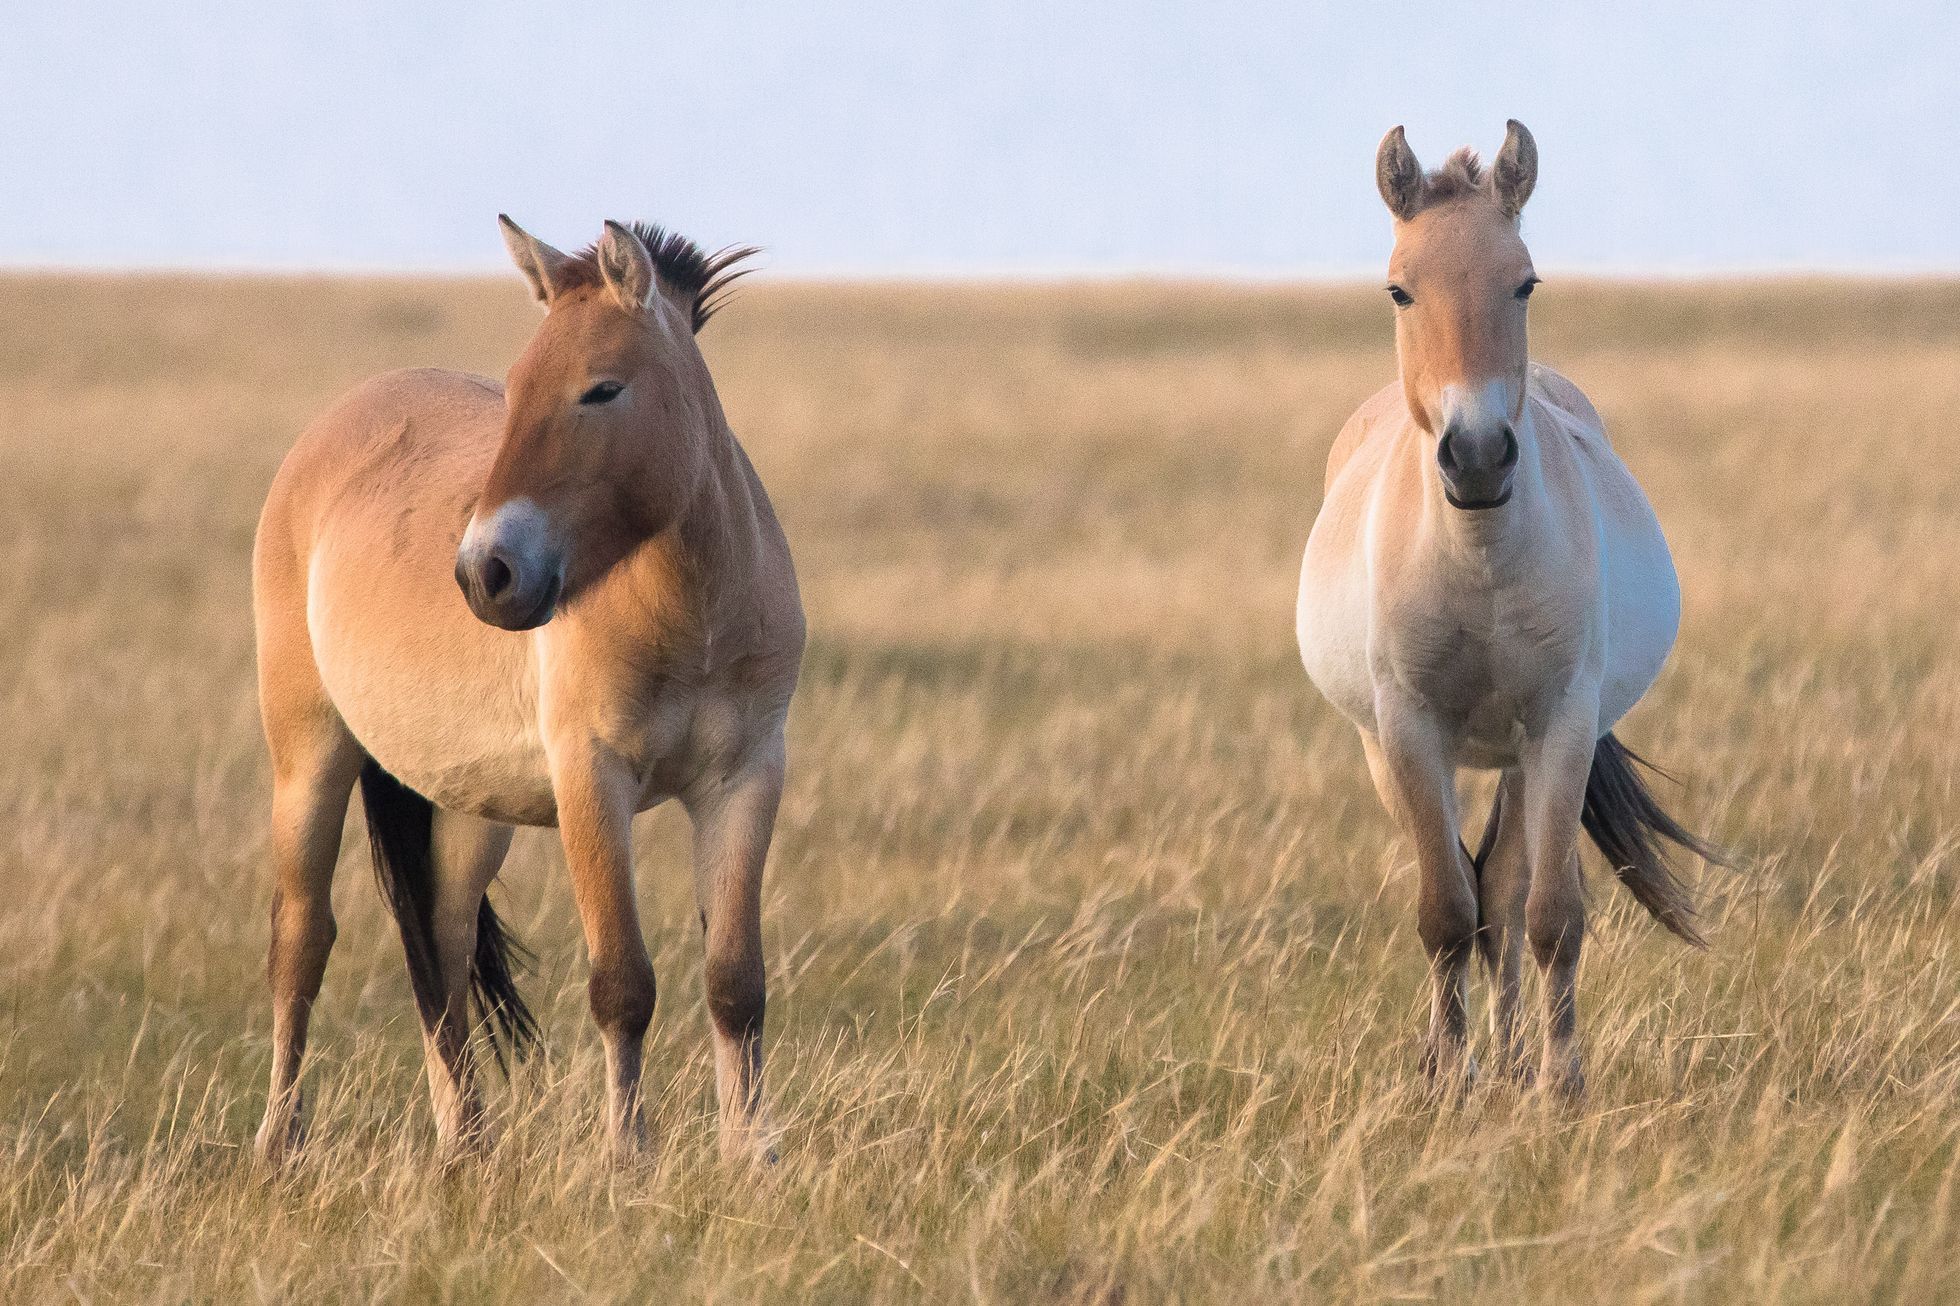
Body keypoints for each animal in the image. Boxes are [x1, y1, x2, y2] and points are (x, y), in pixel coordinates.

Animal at [252, 215, 803, 1160]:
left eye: (602, 390)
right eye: (512, 390)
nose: (486, 574)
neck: (690, 612)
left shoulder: (745, 779)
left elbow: (736, 981)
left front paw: (752, 1157)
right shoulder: (591, 777)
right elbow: (622, 982)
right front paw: (629, 1156)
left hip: (472, 807)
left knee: (437, 947)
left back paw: (467, 1147)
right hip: (311, 757)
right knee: (303, 940)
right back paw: (279, 1144)